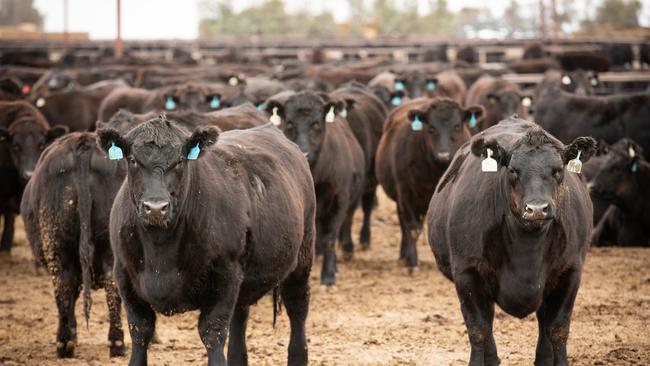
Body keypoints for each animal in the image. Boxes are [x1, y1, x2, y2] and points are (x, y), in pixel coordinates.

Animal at [97, 118, 316, 366]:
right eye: (133, 159)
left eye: (180, 160)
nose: (155, 207)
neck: (161, 253)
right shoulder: (124, 275)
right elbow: (140, 330)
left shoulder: (226, 273)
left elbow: (213, 331)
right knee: (240, 316)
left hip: (302, 257)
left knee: (297, 307)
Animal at [264, 91, 364, 286]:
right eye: (289, 123)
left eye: (316, 123)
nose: (305, 153)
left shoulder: (340, 200)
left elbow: (330, 237)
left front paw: (328, 276)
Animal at [374, 98, 480, 270]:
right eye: (431, 127)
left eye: (457, 126)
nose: (443, 154)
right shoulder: (405, 194)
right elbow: (412, 228)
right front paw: (412, 262)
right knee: (405, 225)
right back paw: (403, 256)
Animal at [426, 118, 592, 366]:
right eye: (513, 170)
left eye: (558, 170)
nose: (536, 209)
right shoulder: (467, 272)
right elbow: (478, 329)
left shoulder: (570, 272)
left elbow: (558, 328)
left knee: (544, 321)